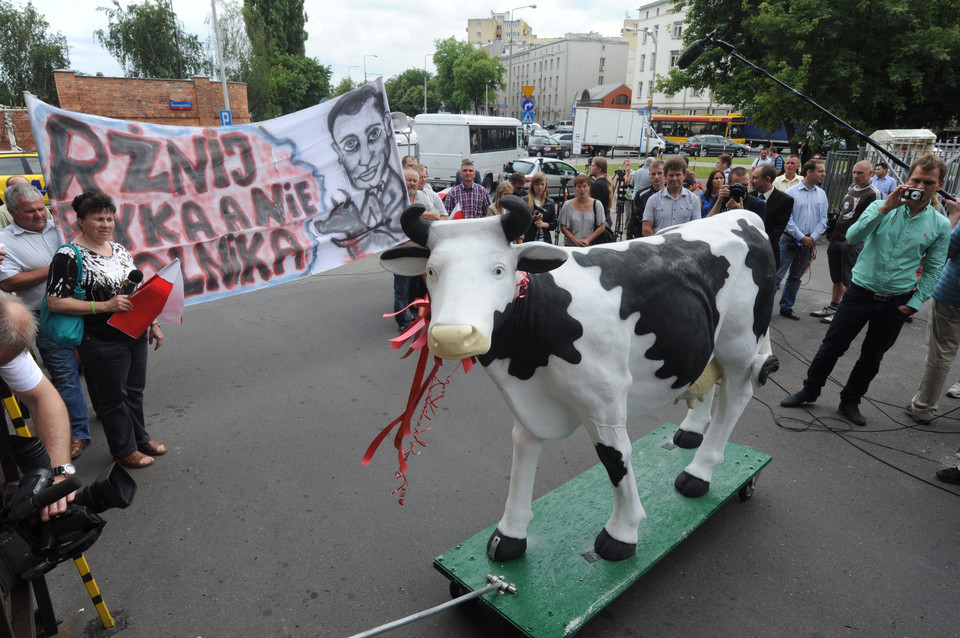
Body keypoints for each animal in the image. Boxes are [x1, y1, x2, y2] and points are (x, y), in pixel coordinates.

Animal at [378, 198, 776, 564]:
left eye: (499, 269)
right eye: (431, 271)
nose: (452, 336)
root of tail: (743, 215)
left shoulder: (605, 402)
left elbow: (614, 457)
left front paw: (621, 534)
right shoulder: (529, 402)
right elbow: (522, 453)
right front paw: (509, 535)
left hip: (739, 342)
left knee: (736, 394)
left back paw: (699, 472)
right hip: (705, 339)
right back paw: (691, 432)